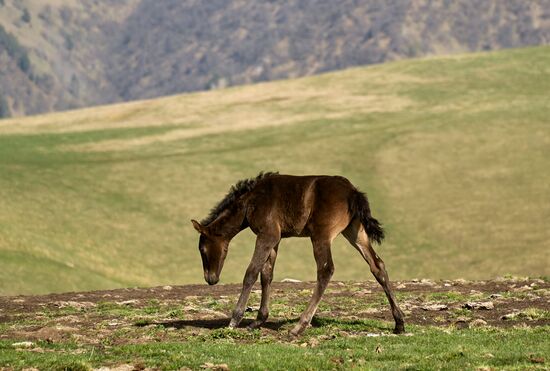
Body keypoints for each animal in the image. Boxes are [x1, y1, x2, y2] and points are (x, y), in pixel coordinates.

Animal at [193, 173, 406, 336]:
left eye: (202, 249)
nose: (210, 278)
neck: (250, 202)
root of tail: (353, 192)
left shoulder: (267, 234)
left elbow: (251, 272)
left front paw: (235, 319)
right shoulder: (276, 239)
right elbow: (266, 275)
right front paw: (258, 320)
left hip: (321, 235)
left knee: (326, 269)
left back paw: (299, 326)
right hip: (355, 231)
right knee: (377, 265)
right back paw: (399, 323)